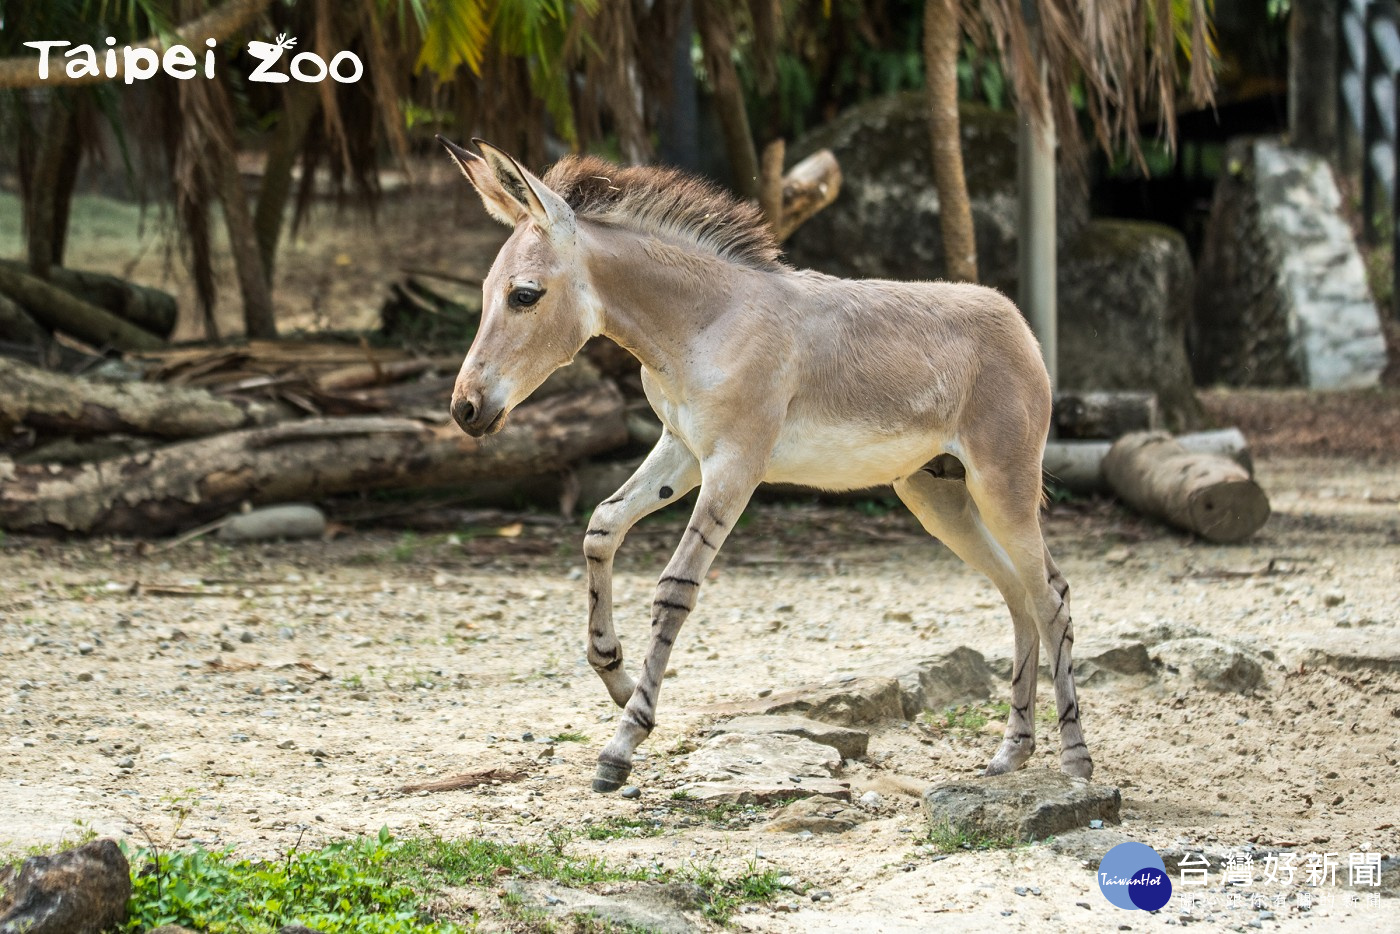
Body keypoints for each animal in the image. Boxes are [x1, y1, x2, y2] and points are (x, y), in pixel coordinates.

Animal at [436, 138, 1092, 795]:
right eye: (487, 289)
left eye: (525, 295)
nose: (465, 409)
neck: (704, 321)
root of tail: (1017, 322)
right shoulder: (682, 449)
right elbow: (601, 527)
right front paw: (614, 675)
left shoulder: (735, 465)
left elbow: (674, 588)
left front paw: (622, 743)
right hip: (936, 496)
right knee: (1020, 592)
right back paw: (1012, 753)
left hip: (1002, 484)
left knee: (1050, 596)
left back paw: (1075, 761)